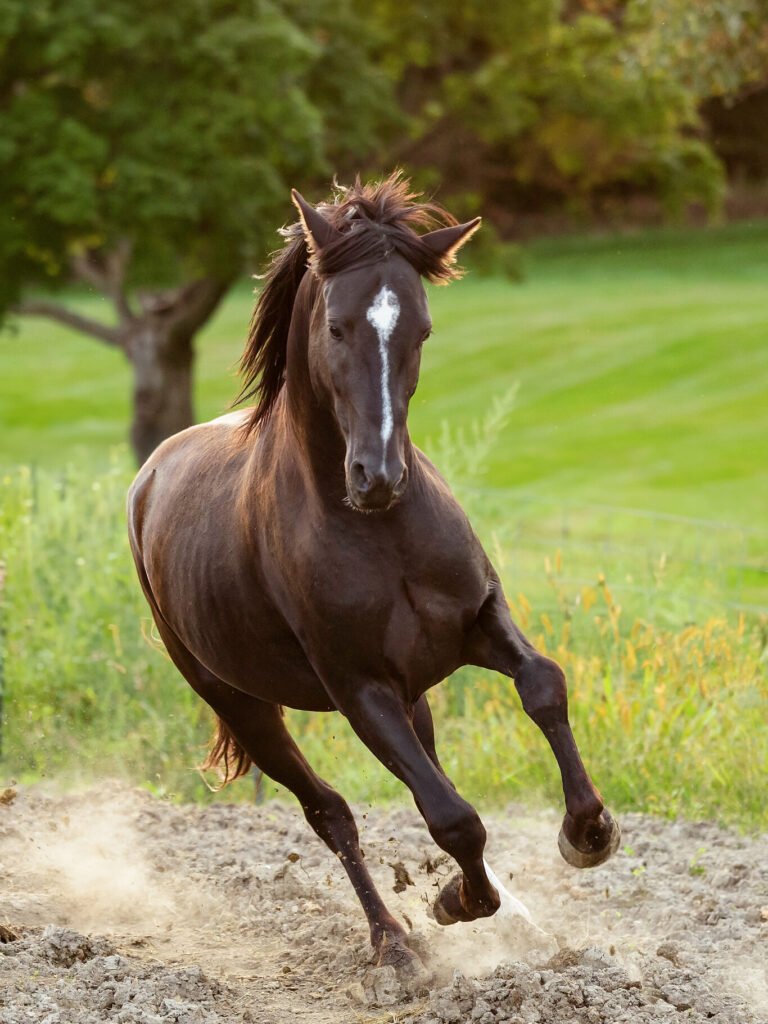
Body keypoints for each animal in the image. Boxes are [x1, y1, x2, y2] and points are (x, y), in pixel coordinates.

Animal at [127, 172, 620, 975]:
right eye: (336, 327)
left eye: (421, 330)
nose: (378, 476)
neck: (383, 534)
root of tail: (151, 474)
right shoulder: (359, 687)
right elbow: (453, 817)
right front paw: (456, 905)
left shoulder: (477, 621)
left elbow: (543, 685)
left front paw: (587, 834)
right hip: (241, 702)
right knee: (330, 812)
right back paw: (393, 940)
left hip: (414, 692)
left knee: (423, 770)